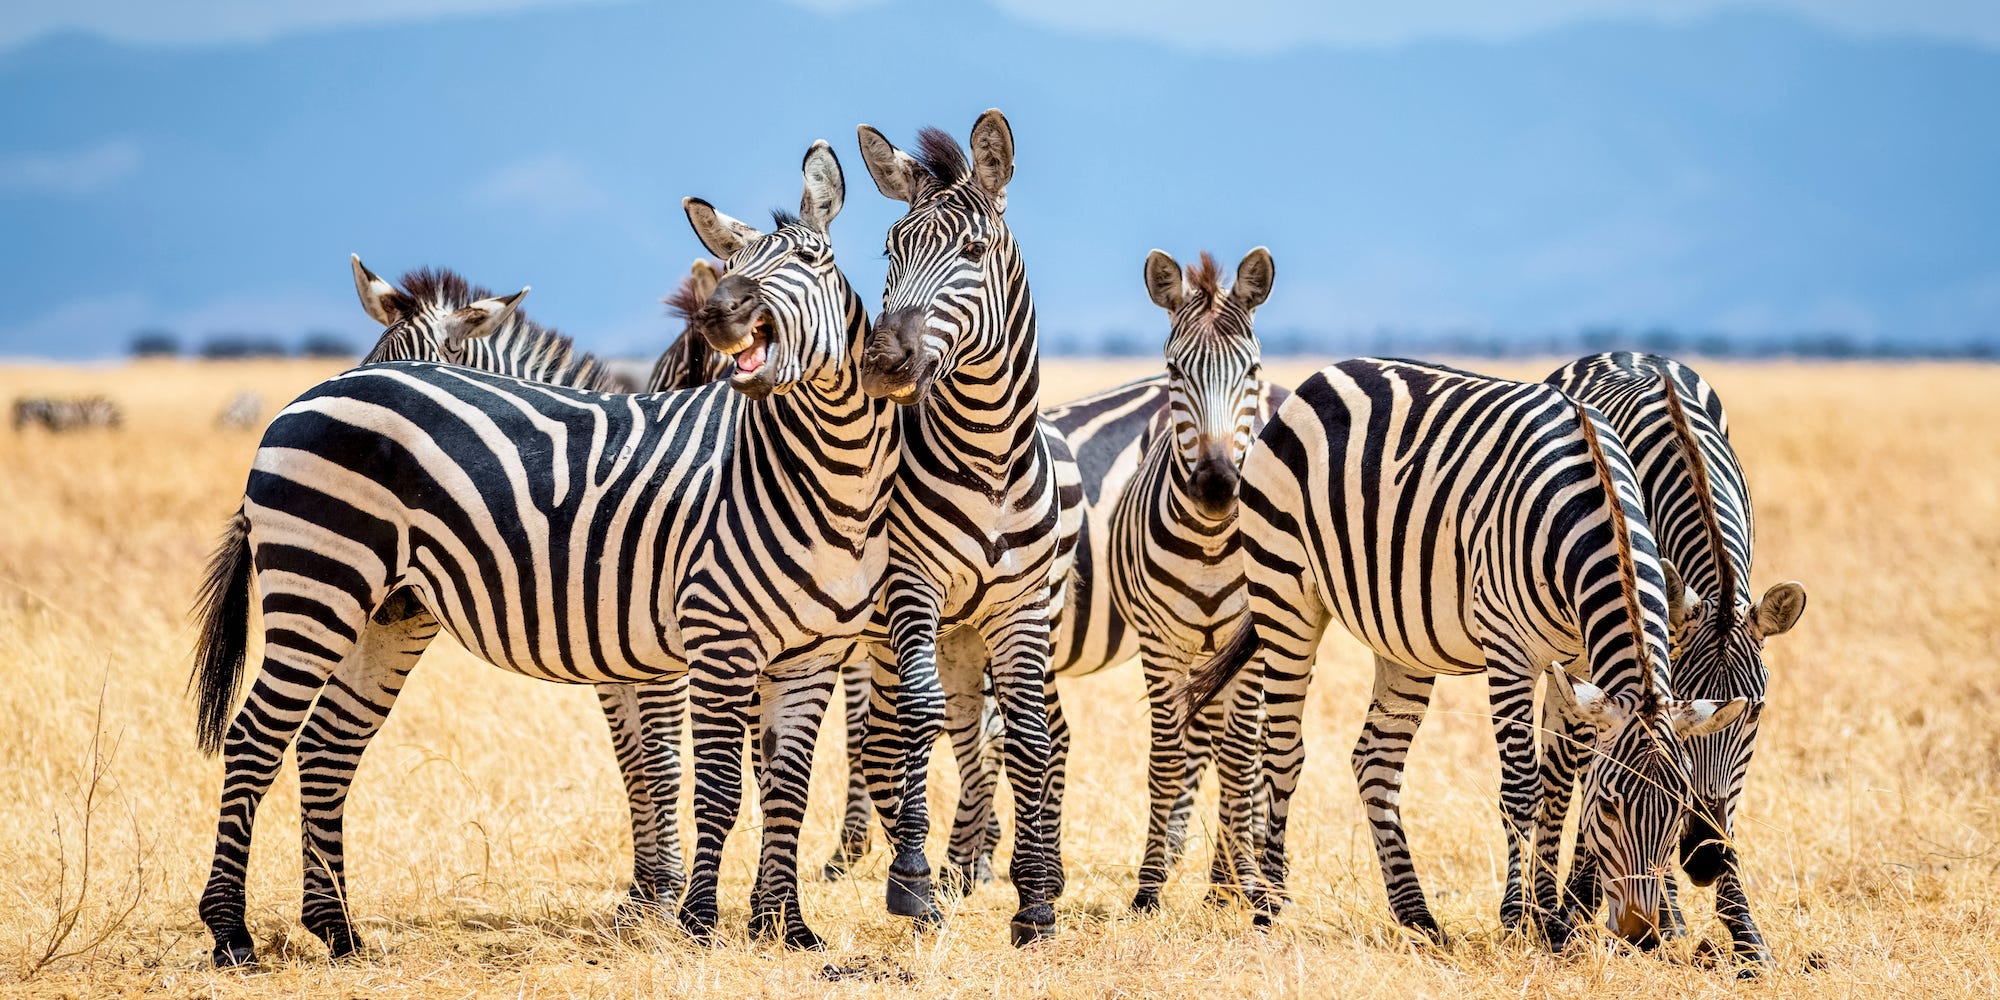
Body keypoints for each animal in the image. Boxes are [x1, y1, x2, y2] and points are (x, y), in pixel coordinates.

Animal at [193, 141, 900, 960]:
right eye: (730, 265)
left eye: (814, 258)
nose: (723, 314)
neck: (827, 472)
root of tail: (299, 402)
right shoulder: (708, 642)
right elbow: (699, 778)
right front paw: (688, 917)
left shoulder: (803, 654)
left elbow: (777, 785)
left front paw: (782, 928)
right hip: (319, 587)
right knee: (255, 740)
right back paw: (232, 932)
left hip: (387, 612)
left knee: (326, 746)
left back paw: (337, 929)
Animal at [852, 111, 1088, 944]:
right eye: (890, 251)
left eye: (974, 253)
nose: (882, 363)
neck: (988, 454)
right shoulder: (911, 587)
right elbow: (916, 720)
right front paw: (911, 880)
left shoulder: (1019, 608)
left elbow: (1028, 736)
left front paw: (1037, 900)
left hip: (974, 632)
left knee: (978, 733)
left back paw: (970, 866)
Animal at [1184, 358, 1752, 944]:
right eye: (1610, 807)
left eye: (1679, 809)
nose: (1641, 933)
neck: (1596, 510)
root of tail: (1323, 375)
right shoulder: (1509, 651)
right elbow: (1523, 788)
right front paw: (1520, 919)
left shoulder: (1576, 662)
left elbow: (1557, 786)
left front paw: (1552, 922)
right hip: (1285, 593)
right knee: (1282, 751)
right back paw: (1269, 907)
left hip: (1401, 638)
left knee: (1376, 760)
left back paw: (1416, 916)